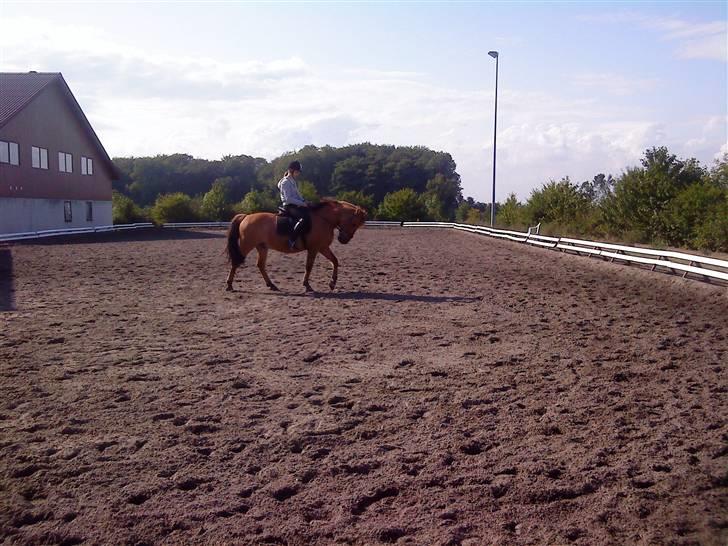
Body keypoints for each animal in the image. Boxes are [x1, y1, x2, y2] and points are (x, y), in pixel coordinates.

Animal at [225, 199, 366, 292]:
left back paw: (272, 285)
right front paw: (307, 285)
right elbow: (309, 266)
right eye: (354, 224)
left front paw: (332, 283)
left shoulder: (322, 247)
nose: (344, 240)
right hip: (246, 245)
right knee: (236, 262)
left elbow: (335, 261)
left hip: (262, 247)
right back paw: (229, 285)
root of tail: (246, 217)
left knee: (260, 265)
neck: (323, 219)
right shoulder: (314, 248)